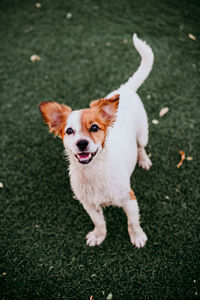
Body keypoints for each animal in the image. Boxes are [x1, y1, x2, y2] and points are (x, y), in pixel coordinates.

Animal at [39, 33, 155, 248]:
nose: (82, 143)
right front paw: (98, 236)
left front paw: (137, 237)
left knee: (141, 147)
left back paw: (143, 160)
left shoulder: (129, 199)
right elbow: (99, 222)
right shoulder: (89, 204)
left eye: (94, 128)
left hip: (143, 133)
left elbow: (133, 222)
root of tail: (125, 89)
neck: (93, 172)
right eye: (69, 131)